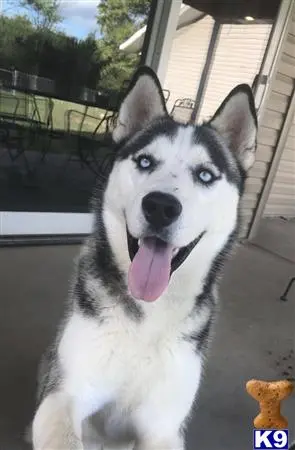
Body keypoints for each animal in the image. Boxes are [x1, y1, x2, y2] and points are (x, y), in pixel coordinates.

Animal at [32, 65, 258, 448]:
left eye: (205, 174)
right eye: (145, 161)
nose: (161, 206)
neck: (146, 317)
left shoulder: (163, 426)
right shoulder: (63, 395)